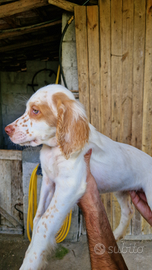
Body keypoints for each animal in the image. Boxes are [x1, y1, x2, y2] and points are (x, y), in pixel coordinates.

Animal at [5, 84, 152, 268]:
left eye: (35, 110)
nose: (7, 130)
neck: (54, 148)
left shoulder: (69, 186)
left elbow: (44, 223)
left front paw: (31, 261)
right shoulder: (48, 181)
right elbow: (38, 217)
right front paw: (32, 251)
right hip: (121, 189)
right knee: (128, 210)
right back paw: (117, 234)